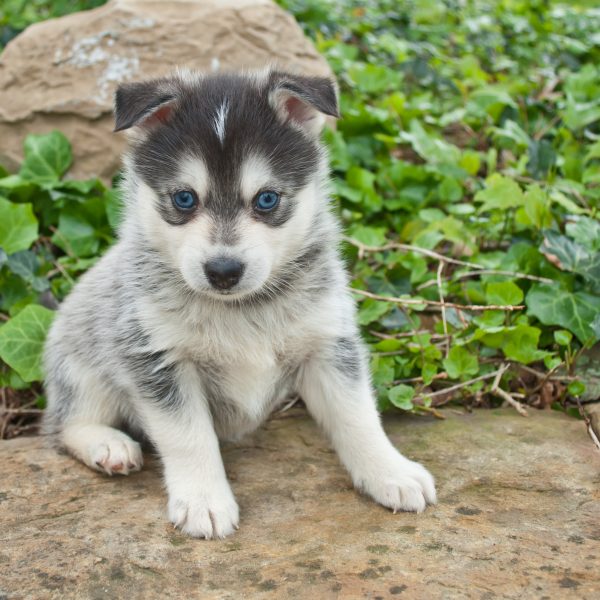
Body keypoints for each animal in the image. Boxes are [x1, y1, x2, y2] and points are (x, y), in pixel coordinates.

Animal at [43, 68, 436, 536]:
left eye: (267, 199)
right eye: (184, 198)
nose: (224, 271)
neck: (241, 309)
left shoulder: (328, 343)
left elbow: (357, 415)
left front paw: (391, 472)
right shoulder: (156, 357)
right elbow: (188, 435)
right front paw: (204, 501)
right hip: (81, 365)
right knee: (65, 424)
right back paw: (108, 445)